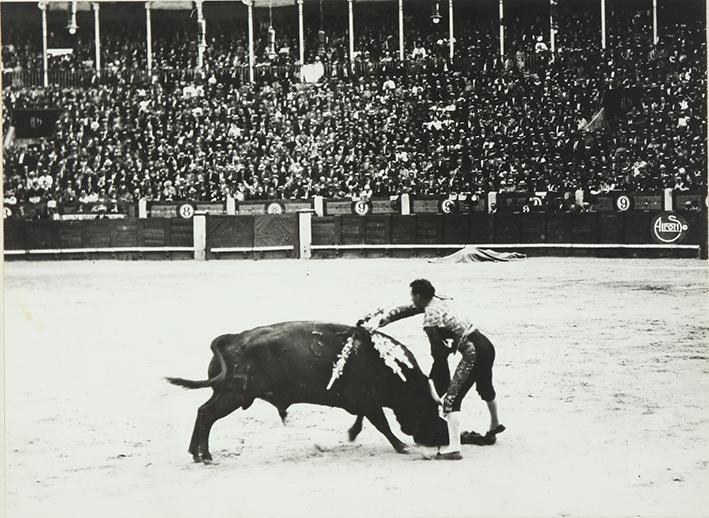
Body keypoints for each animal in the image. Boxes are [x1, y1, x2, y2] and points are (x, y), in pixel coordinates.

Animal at [165, 320, 448, 464]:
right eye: (428, 408)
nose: (443, 439)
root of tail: (232, 338)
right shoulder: (369, 402)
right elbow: (382, 424)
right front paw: (402, 446)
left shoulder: (364, 404)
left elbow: (369, 422)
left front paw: (354, 434)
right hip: (233, 395)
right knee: (207, 415)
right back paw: (205, 456)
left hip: (225, 393)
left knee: (202, 412)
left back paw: (195, 453)